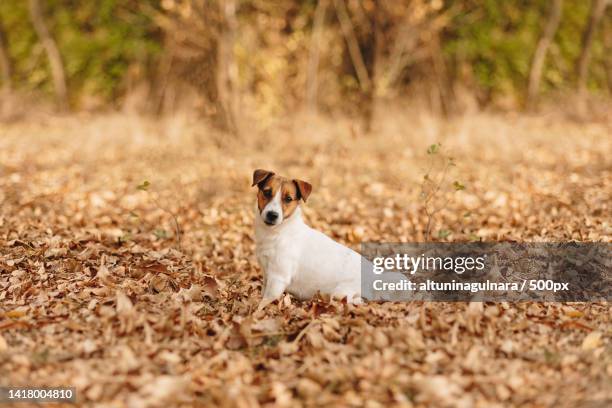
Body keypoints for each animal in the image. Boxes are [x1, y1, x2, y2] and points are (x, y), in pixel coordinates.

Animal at [251, 169, 366, 310]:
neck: (278, 232)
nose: (272, 215)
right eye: (267, 192)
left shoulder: (278, 278)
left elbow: (263, 303)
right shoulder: (267, 274)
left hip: (340, 293)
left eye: (288, 199)